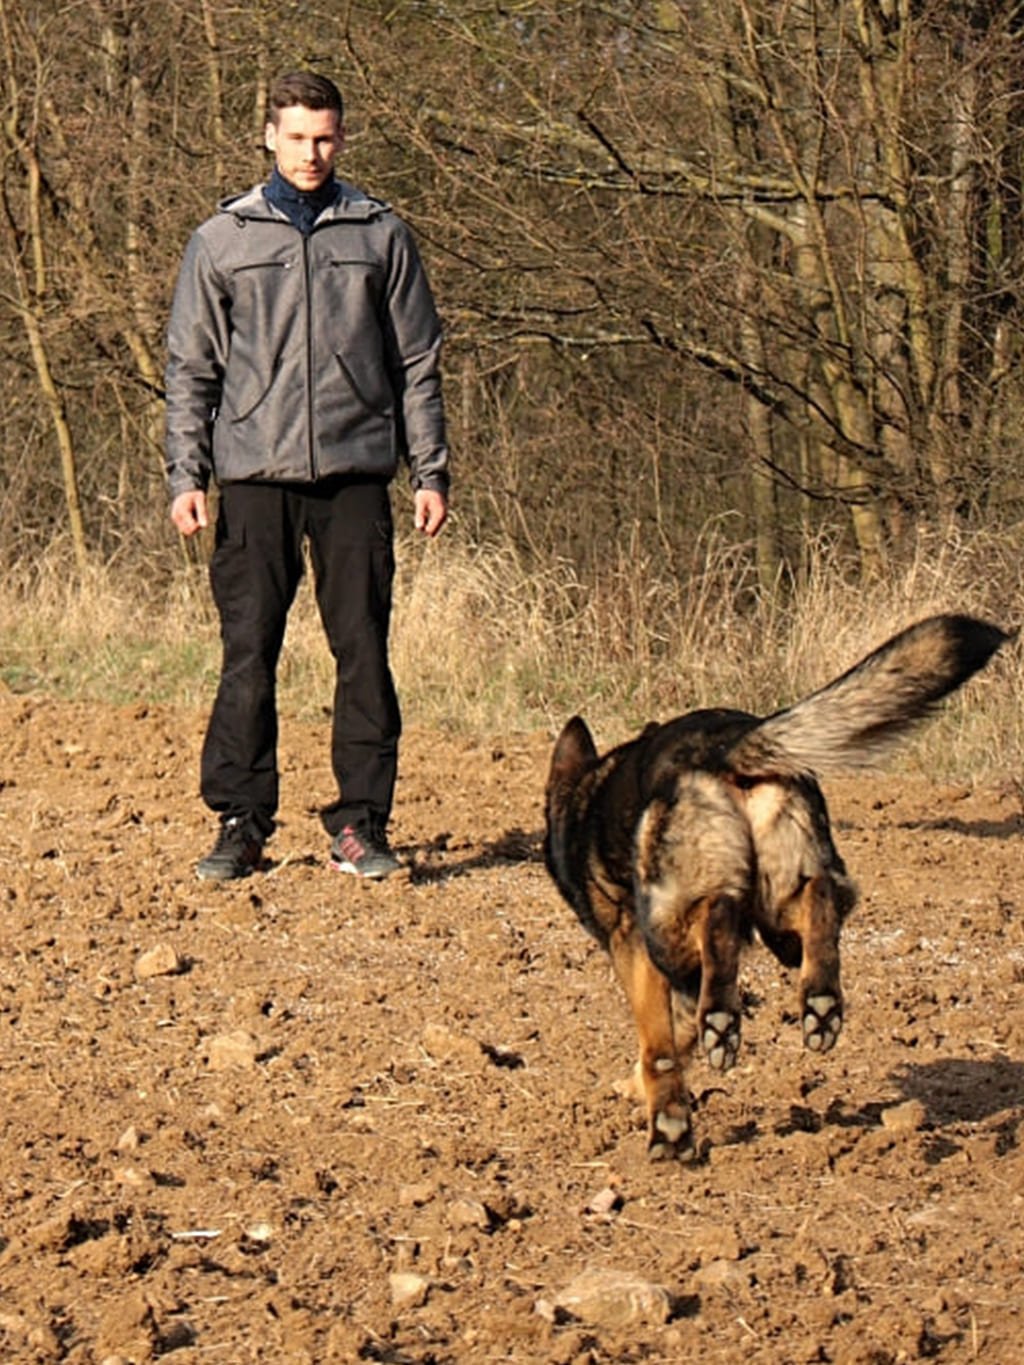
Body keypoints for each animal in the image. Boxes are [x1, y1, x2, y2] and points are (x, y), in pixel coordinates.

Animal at [546, 619, 1010, 1162]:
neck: (586, 798)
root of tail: (728, 744)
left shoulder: (635, 952)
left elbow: (658, 1050)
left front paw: (665, 1120)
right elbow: (675, 1042)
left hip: (668, 924)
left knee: (719, 916)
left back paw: (726, 1024)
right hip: (783, 909)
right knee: (820, 900)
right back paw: (819, 1007)